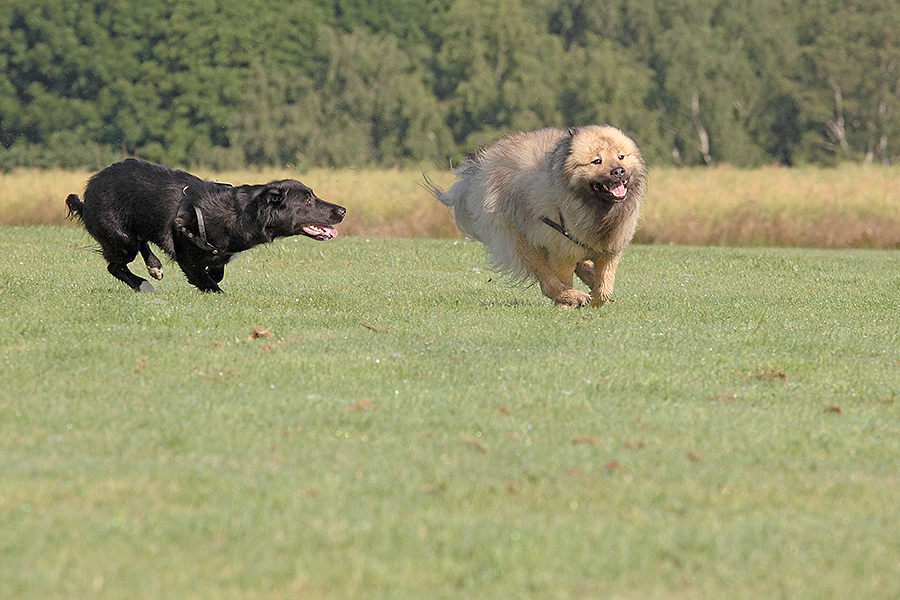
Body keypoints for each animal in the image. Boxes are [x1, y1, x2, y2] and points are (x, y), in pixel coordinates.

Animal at [67, 158, 346, 292]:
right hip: (119, 237)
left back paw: (154, 266)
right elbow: (210, 284)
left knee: (140, 243)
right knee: (116, 264)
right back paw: (143, 284)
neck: (240, 212)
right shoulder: (188, 260)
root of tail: (87, 194)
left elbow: (217, 271)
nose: (342, 210)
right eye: (308, 199)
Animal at [428, 125, 648, 308]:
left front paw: (595, 296)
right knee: (547, 281)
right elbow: (564, 280)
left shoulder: (610, 251)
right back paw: (573, 295)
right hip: (521, 241)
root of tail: (482, 162)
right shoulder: (561, 252)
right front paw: (569, 302)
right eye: (596, 161)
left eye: (621, 157)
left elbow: (604, 288)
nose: (618, 171)